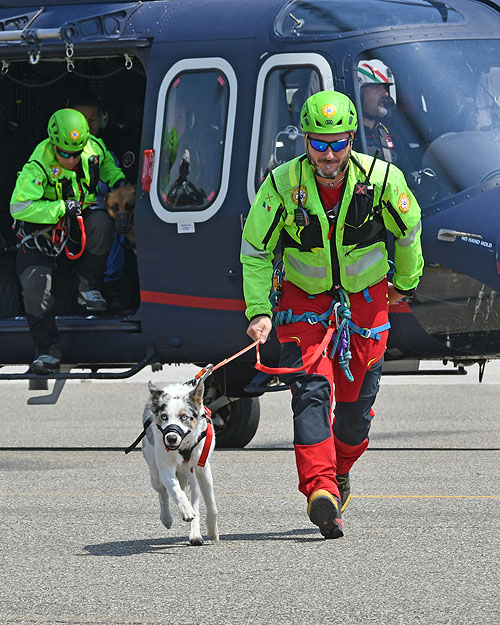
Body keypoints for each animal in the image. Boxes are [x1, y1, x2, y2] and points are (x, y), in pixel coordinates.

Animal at [141, 378, 219, 544]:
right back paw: (166, 518)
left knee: (195, 498)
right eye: (164, 417)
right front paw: (186, 509)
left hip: (192, 475)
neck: (183, 446)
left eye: (184, 417)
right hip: (155, 473)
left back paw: (195, 535)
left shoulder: (202, 468)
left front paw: (212, 530)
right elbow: (175, 490)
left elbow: (211, 504)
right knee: (163, 493)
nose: (171, 438)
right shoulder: (165, 468)